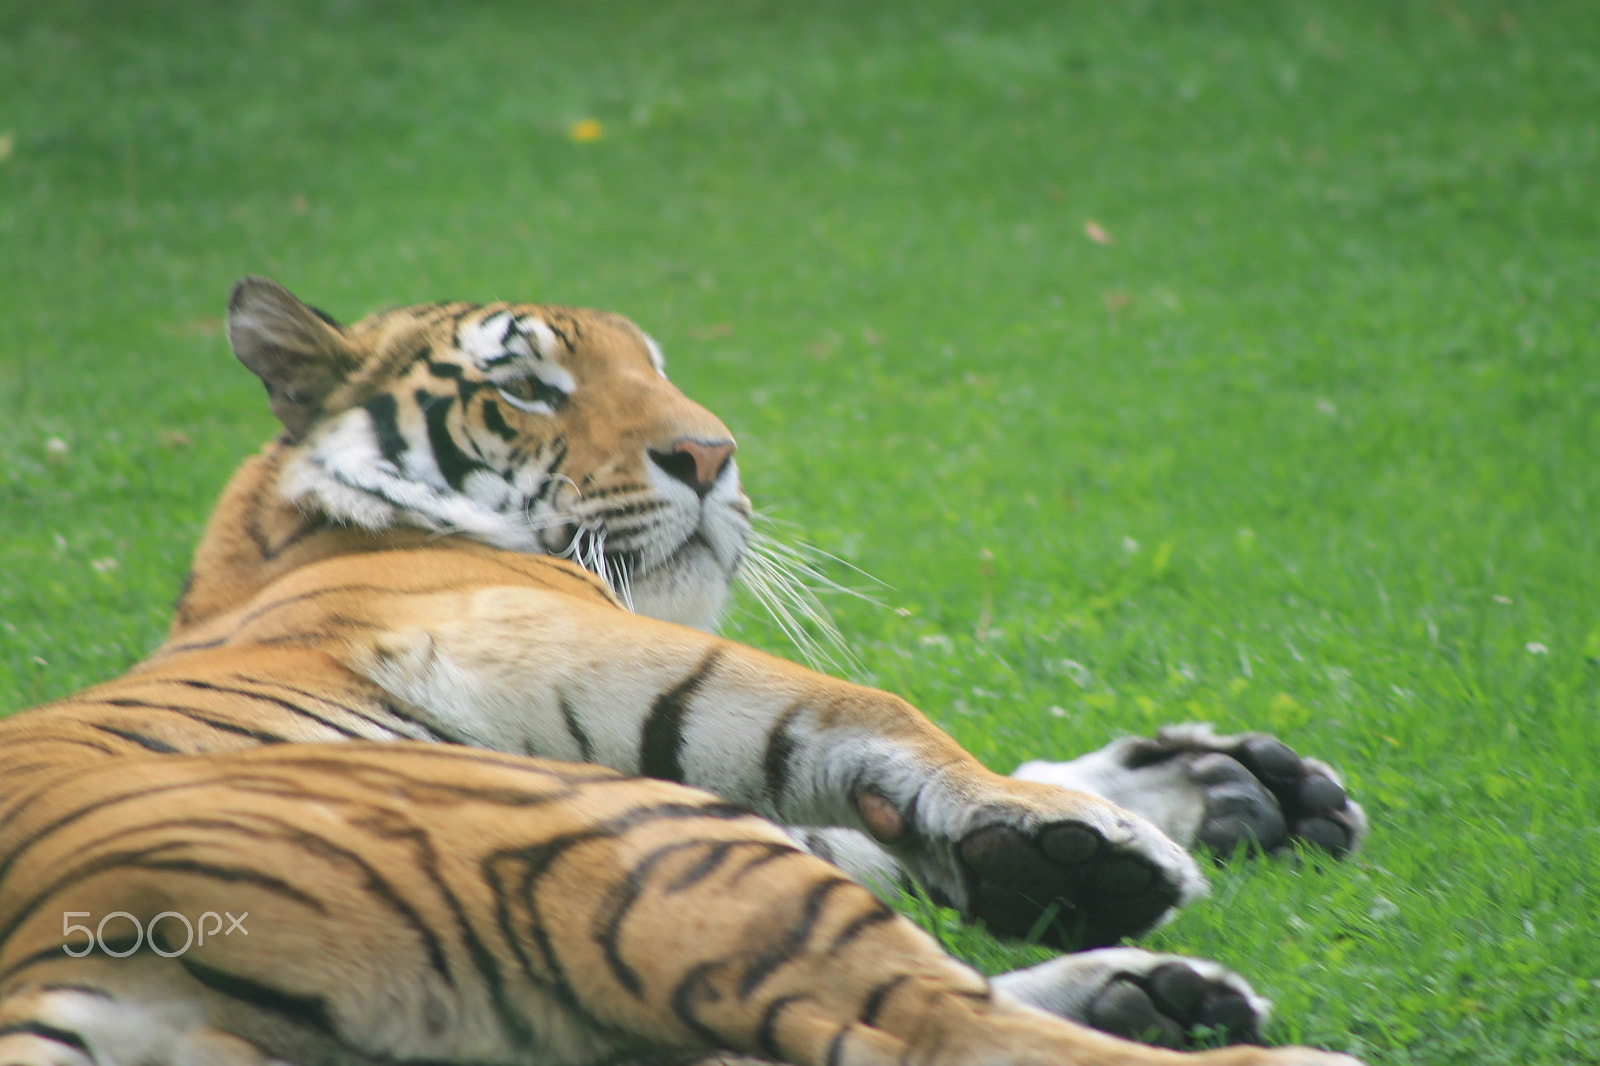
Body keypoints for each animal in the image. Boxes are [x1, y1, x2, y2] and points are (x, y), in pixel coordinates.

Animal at [0, 278, 1368, 1066]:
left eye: (654, 369)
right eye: (525, 384)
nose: (711, 454)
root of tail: (64, 967)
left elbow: (868, 808)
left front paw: (1227, 785)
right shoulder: (539, 636)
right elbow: (856, 713)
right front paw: (1095, 835)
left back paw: (1165, 991)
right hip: (628, 842)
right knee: (931, 1025)